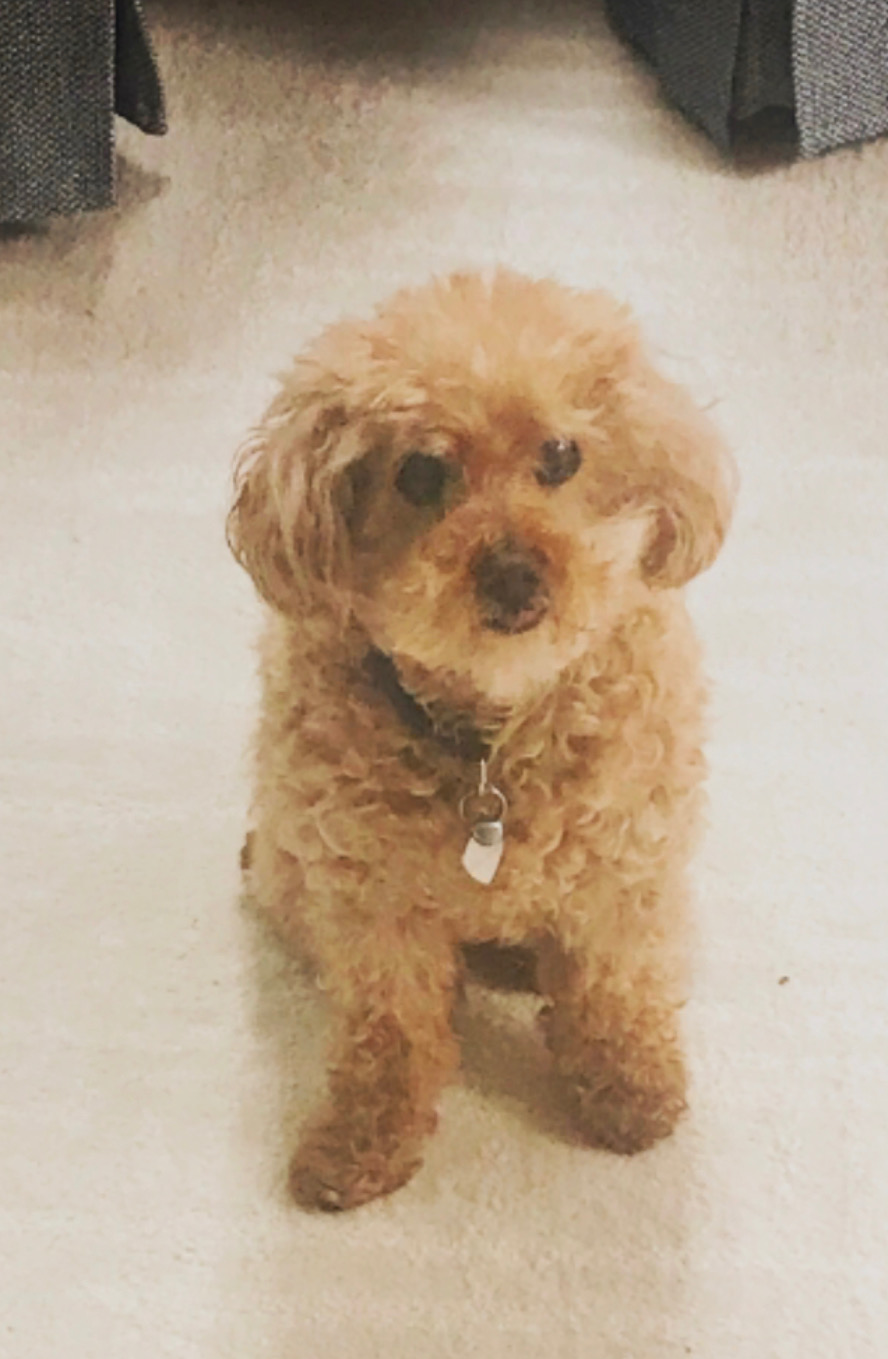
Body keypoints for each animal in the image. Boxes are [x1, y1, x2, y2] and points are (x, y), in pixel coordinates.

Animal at [228, 269, 735, 1211]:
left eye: (562, 456)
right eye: (421, 472)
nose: (513, 572)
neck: (494, 739)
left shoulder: (625, 874)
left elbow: (616, 988)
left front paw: (632, 1092)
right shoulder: (371, 906)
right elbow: (390, 1030)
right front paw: (362, 1141)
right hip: (290, 868)